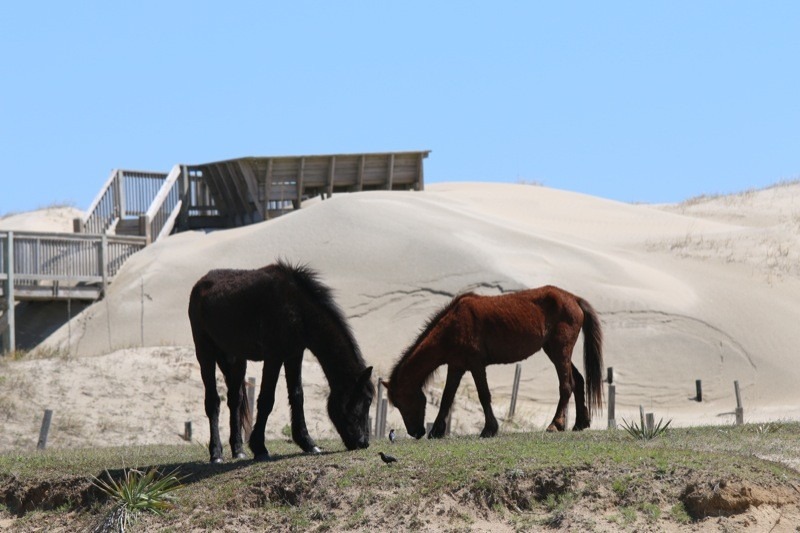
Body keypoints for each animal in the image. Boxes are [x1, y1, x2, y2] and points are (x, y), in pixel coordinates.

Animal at [188, 261, 374, 463]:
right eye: (363, 402)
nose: (363, 443)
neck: (297, 308)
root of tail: (200, 284)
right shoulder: (274, 357)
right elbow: (266, 400)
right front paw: (260, 448)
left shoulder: (294, 355)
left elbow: (297, 395)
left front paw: (307, 443)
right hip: (205, 353)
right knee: (213, 402)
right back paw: (216, 453)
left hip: (236, 360)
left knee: (234, 400)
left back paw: (238, 450)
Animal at [381, 286, 603, 439]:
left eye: (401, 401)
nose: (415, 432)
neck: (452, 326)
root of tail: (573, 299)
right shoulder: (456, 366)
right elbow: (447, 398)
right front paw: (436, 431)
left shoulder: (476, 364)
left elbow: (483, 395)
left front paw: (489, 429)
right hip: (555, 351)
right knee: (578, 381)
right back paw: (579, 423)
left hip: (560, 351)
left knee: (566, 386)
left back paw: (555, 425)